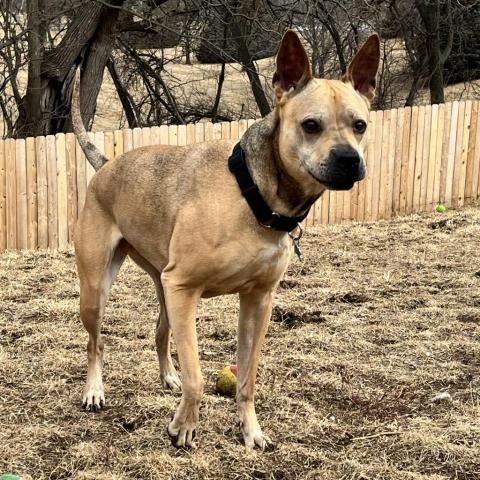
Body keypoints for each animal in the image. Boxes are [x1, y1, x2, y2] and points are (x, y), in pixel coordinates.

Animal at [72, 30, 378, 450]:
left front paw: (251, 431)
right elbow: (197, 378)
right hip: (98, 289)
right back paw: (94, 391)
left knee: (160, 331)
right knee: (95, 342)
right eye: (311, 125)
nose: (349, 159)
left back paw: (168, 376)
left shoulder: (257, 300)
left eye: (359, 124)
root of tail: (106, 166)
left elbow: (247, 377)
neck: (254, 194)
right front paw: (183, 427)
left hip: (163, 285)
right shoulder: (184, 288)